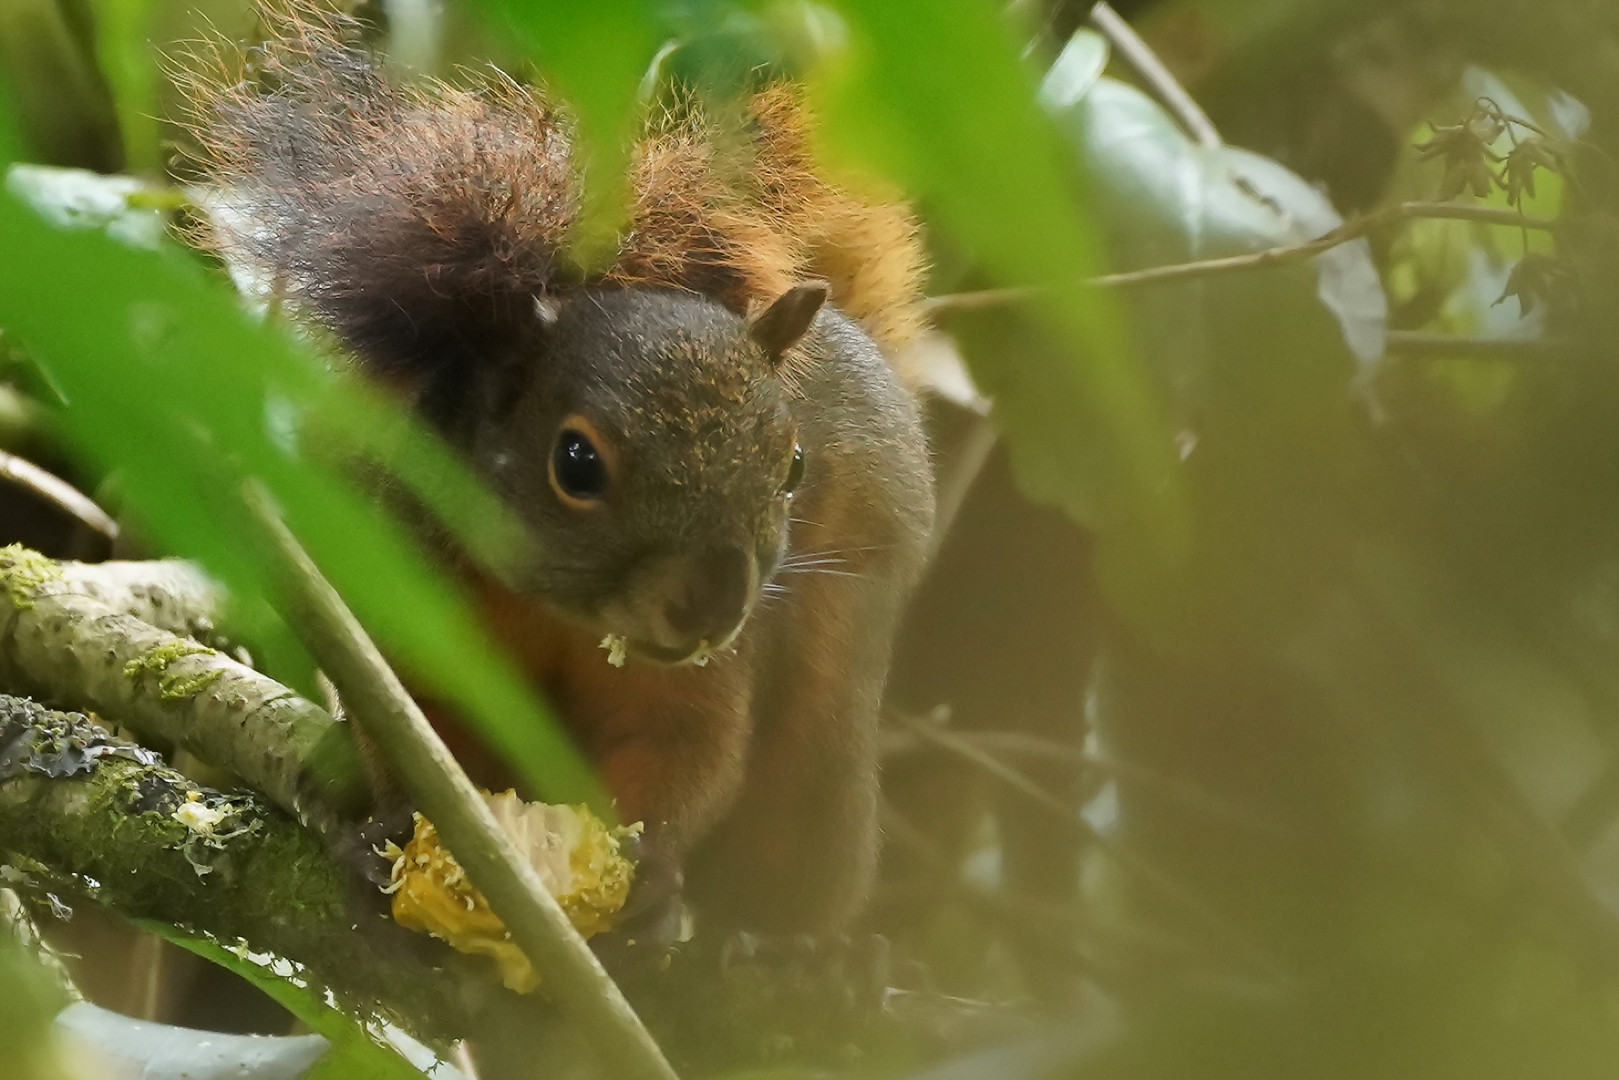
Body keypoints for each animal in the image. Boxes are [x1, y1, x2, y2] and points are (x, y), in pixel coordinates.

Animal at [177, 6, 939, 939]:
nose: (713, 606)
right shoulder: (407, 581)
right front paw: (391, 832)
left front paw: (647, 871)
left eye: (794, 465)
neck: (558, 612)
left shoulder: (702, 677)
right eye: (575, 463)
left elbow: (689, 751)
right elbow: (419, 720)